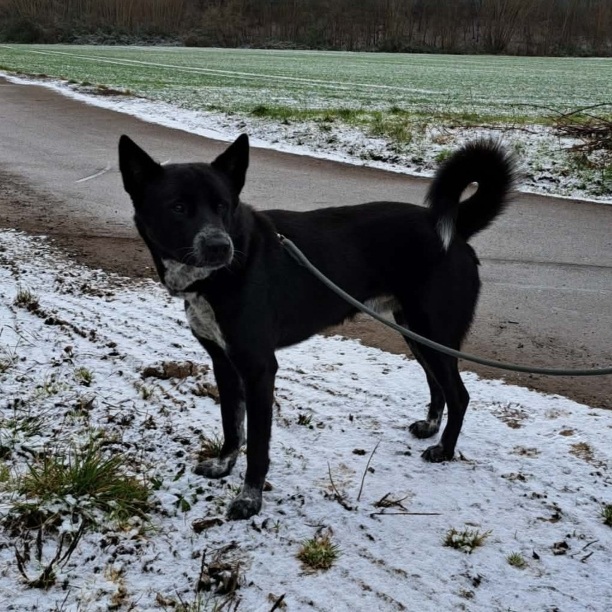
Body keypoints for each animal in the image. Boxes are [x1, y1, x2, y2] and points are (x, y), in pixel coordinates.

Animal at [118, 134, 515, 520]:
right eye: (178, 207)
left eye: (222, 205)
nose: (219, 246)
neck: (220, 276)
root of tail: (451, 226)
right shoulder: (223, 363)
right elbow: (233, 426)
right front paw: (222, 465)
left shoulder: (259, 368)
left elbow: (257, 444)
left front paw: (249, 499)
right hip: (416, 332)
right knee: (439, 385)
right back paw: (431, 428)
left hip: (433, 331)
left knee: (459, 394)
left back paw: (444, 449)